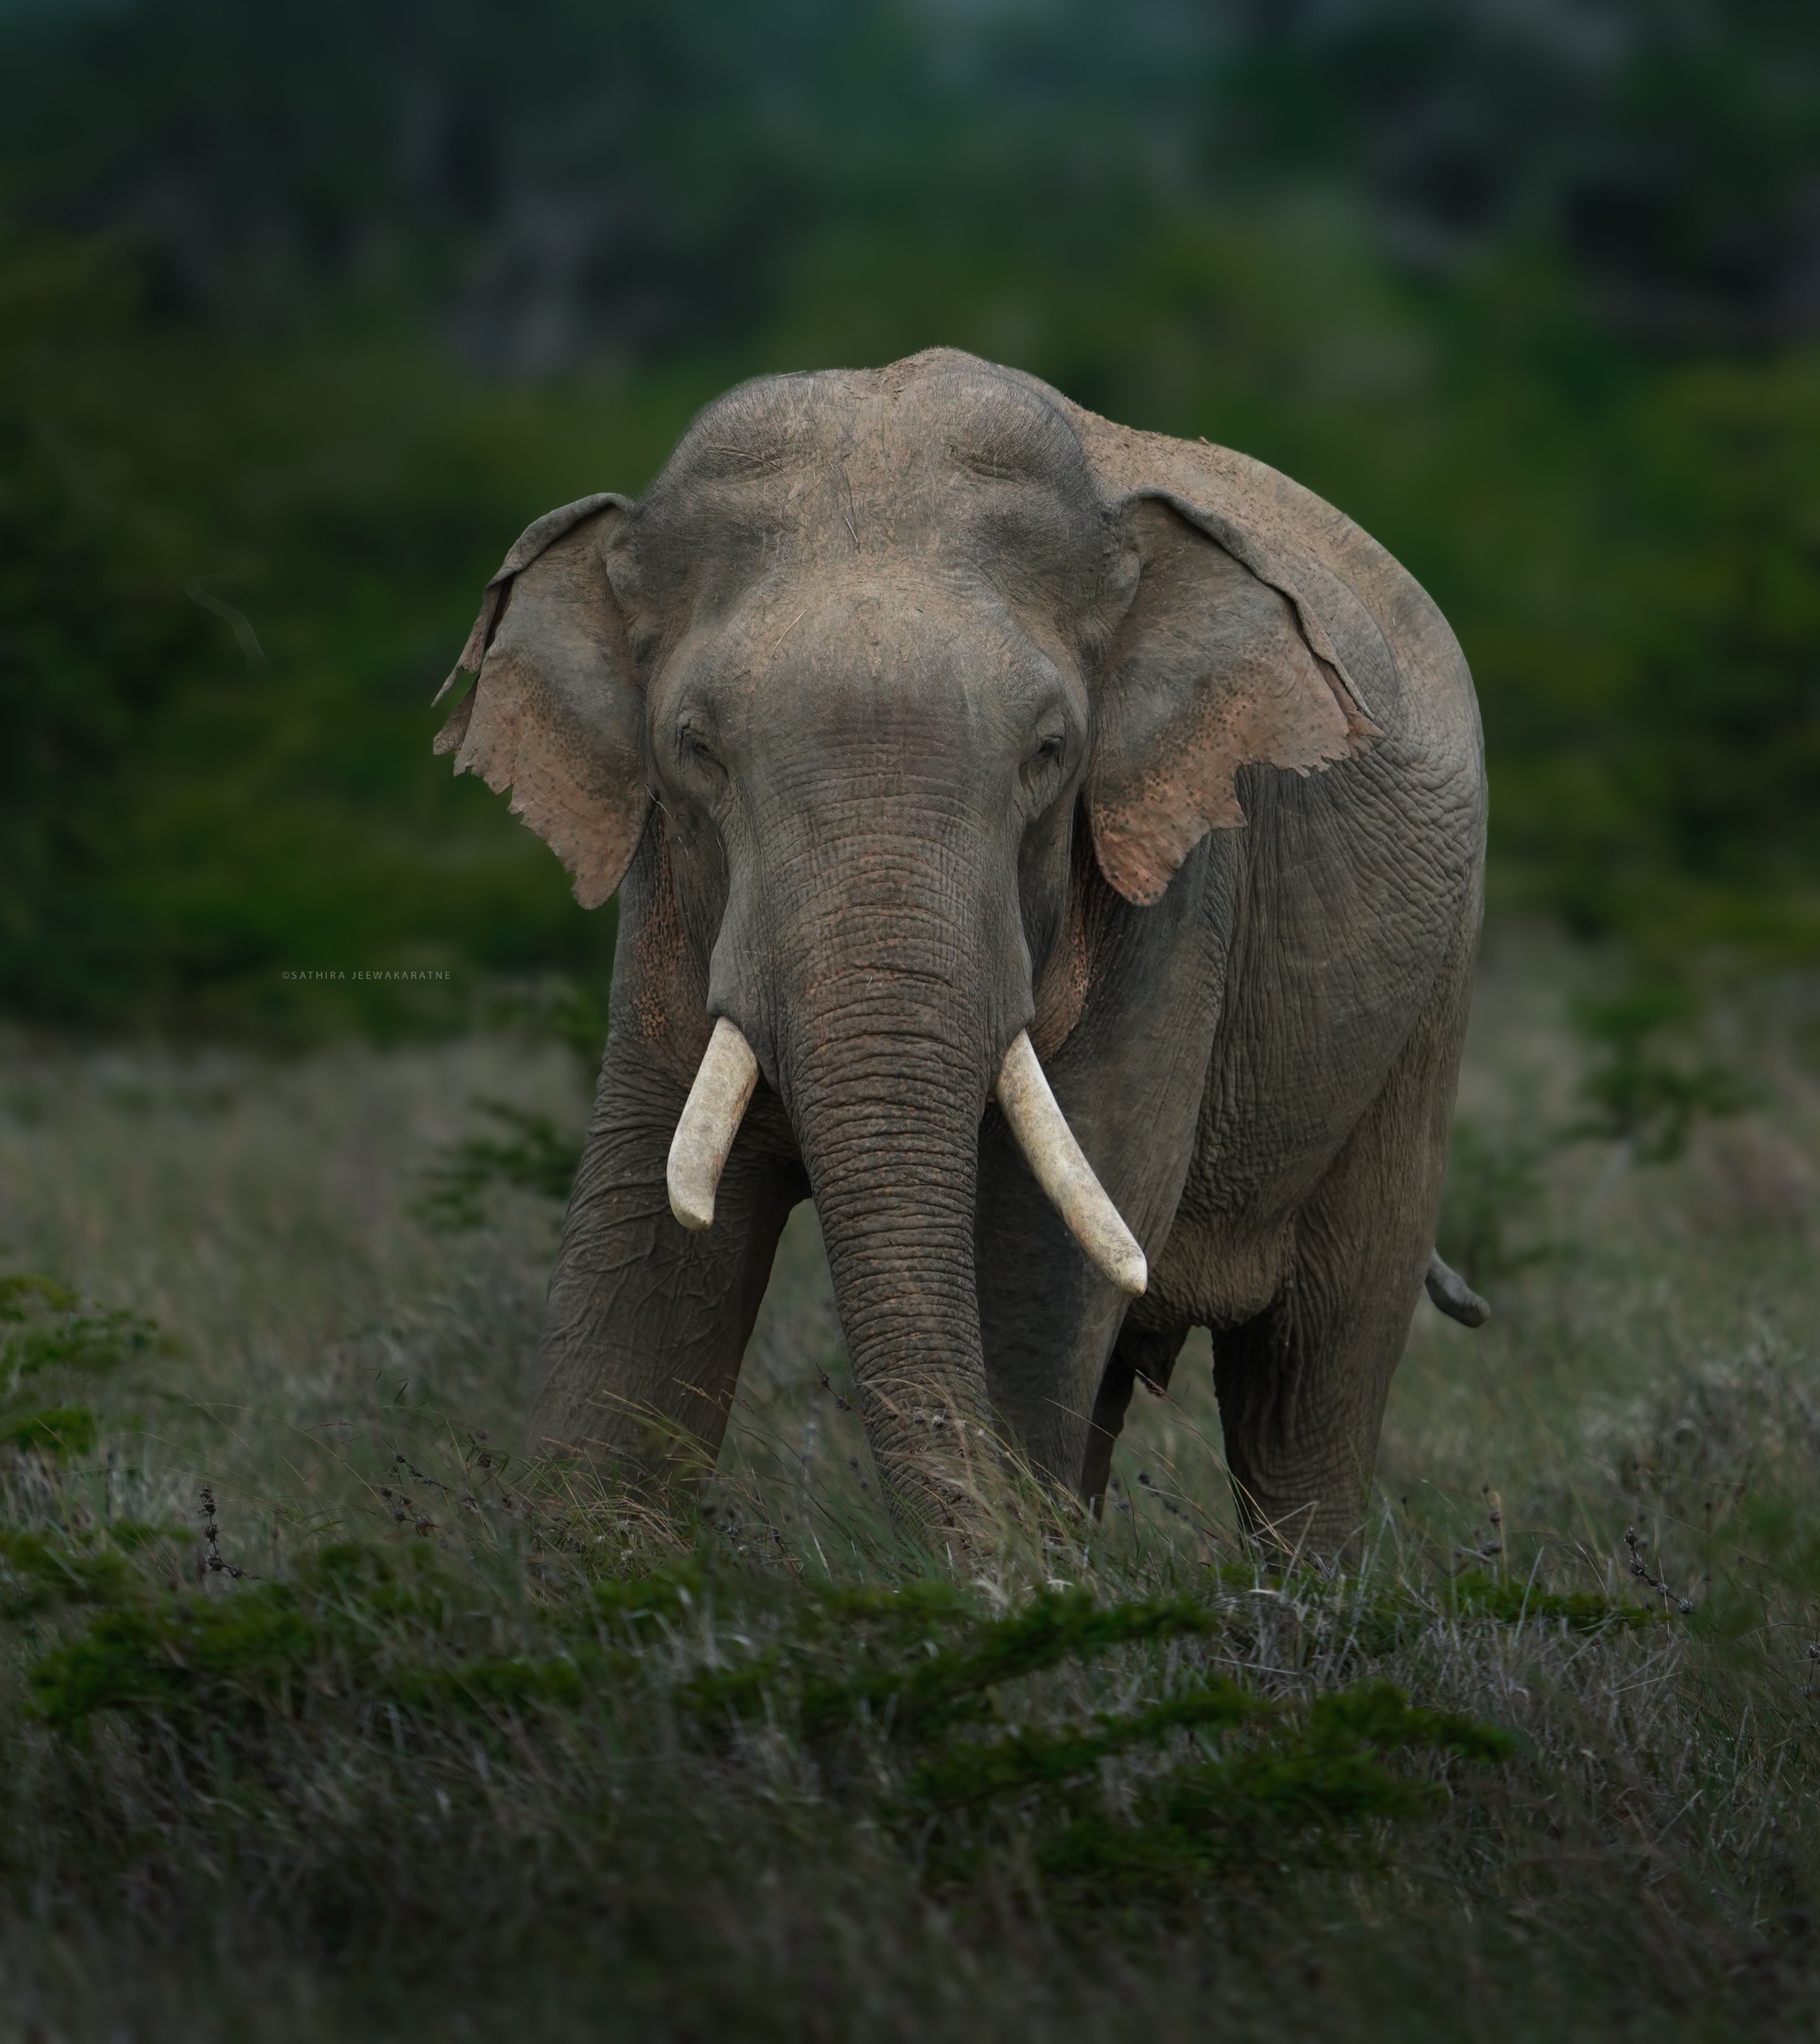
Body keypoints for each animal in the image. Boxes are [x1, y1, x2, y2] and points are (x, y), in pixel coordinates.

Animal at [434, 346, 1487, 1556]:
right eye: (692, 748)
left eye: (1049, 752)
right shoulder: (665, 899)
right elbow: (640, 1252)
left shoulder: (1174, 887)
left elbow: (1043, 1255)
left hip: (1430, 992)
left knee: (1309, 1381)